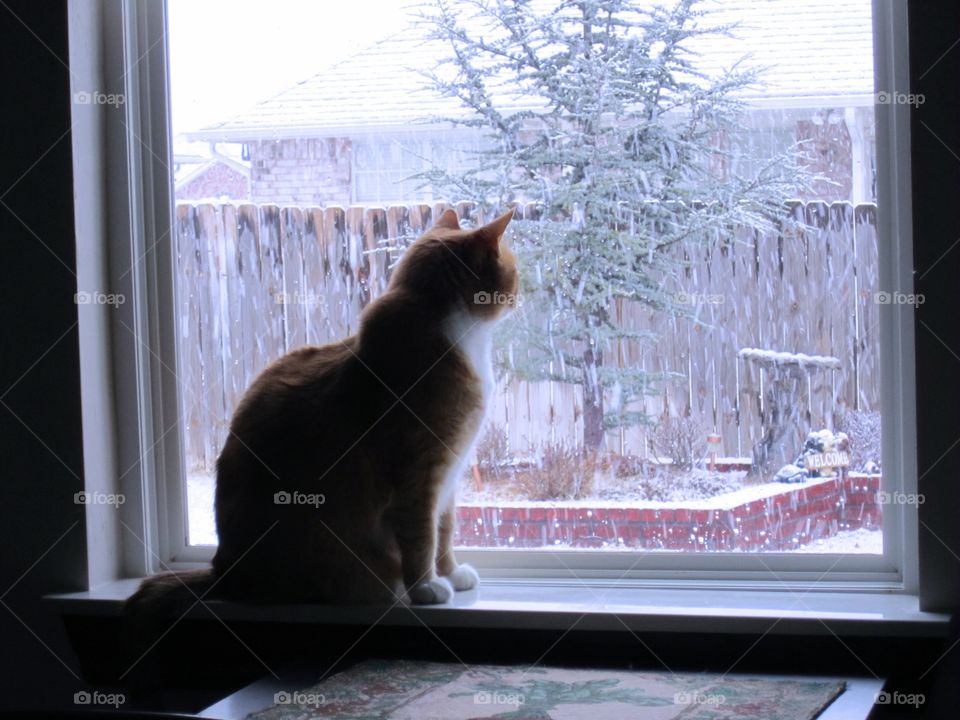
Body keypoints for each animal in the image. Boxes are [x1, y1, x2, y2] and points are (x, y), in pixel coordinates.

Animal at [129, 208, 516, 608]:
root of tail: (223, 572)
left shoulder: (450, 475)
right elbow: (422, 535)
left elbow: (445, 530)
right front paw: (426, 587)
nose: (522, 293)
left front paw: (451, 573)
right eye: (514, 271)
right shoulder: (420, 474)